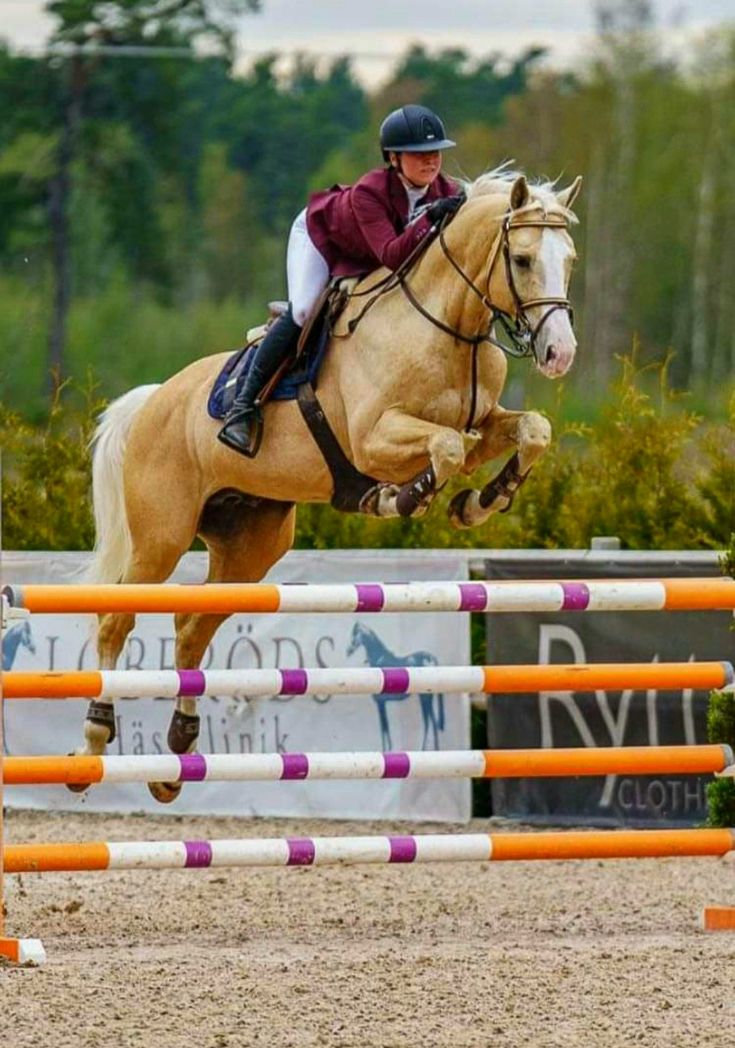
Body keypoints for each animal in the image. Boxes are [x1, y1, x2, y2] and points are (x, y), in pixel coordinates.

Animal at [80, 169, 582, 800]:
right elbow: (445, 448)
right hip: (161, 540)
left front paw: (480, 502)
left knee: (192, 630)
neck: (450, 326)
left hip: (251, 549)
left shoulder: (484, 423)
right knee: (117, 618)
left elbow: (528, 431)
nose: (560, 354)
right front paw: (399, 497)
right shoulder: (373, 439)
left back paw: (178, 755)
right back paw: (96, 736)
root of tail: (154, 400)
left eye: (569, 259)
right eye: (521, 259)